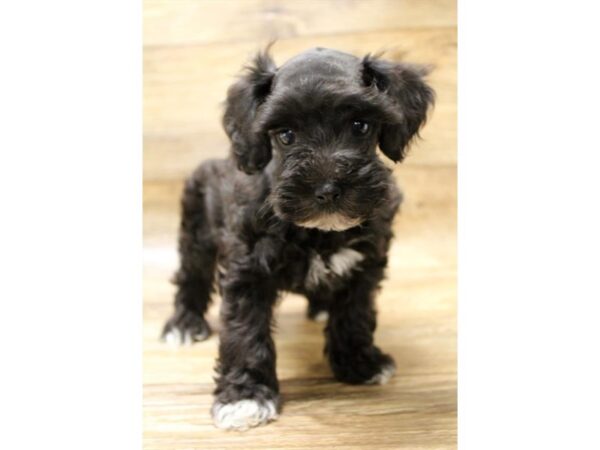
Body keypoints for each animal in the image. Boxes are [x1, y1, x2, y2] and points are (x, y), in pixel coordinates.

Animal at [162, 47, 434, 430]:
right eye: (286, 135)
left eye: (360, 126)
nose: (328, 189)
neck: (318, 232)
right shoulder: (248, 272)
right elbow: (245, 332)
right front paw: (245, 397)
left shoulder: (366, 263)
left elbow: (355, 313)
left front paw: (359, 363)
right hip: (196, 233)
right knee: (191, 277)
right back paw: (185, 324)